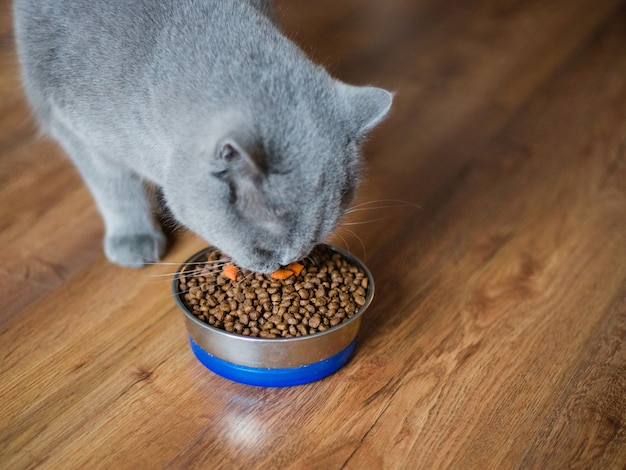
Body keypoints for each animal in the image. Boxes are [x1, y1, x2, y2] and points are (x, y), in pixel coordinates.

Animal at [14, 0, 390, 274]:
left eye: (318, 238)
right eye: (263, 248)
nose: (285, 263)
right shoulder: (74, 129)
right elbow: (115, 188)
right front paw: (135, 240)